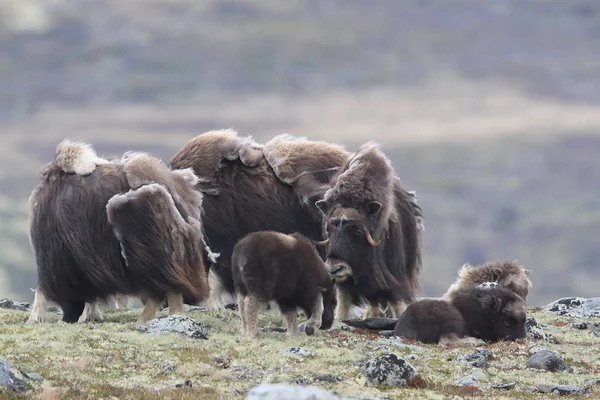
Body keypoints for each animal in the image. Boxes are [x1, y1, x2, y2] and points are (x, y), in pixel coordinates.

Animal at [396, 284, 528, 344]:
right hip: (453, 320)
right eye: (507, 322)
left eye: (524, 321)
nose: (521, 340)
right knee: (447, 340)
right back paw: (477, 342)